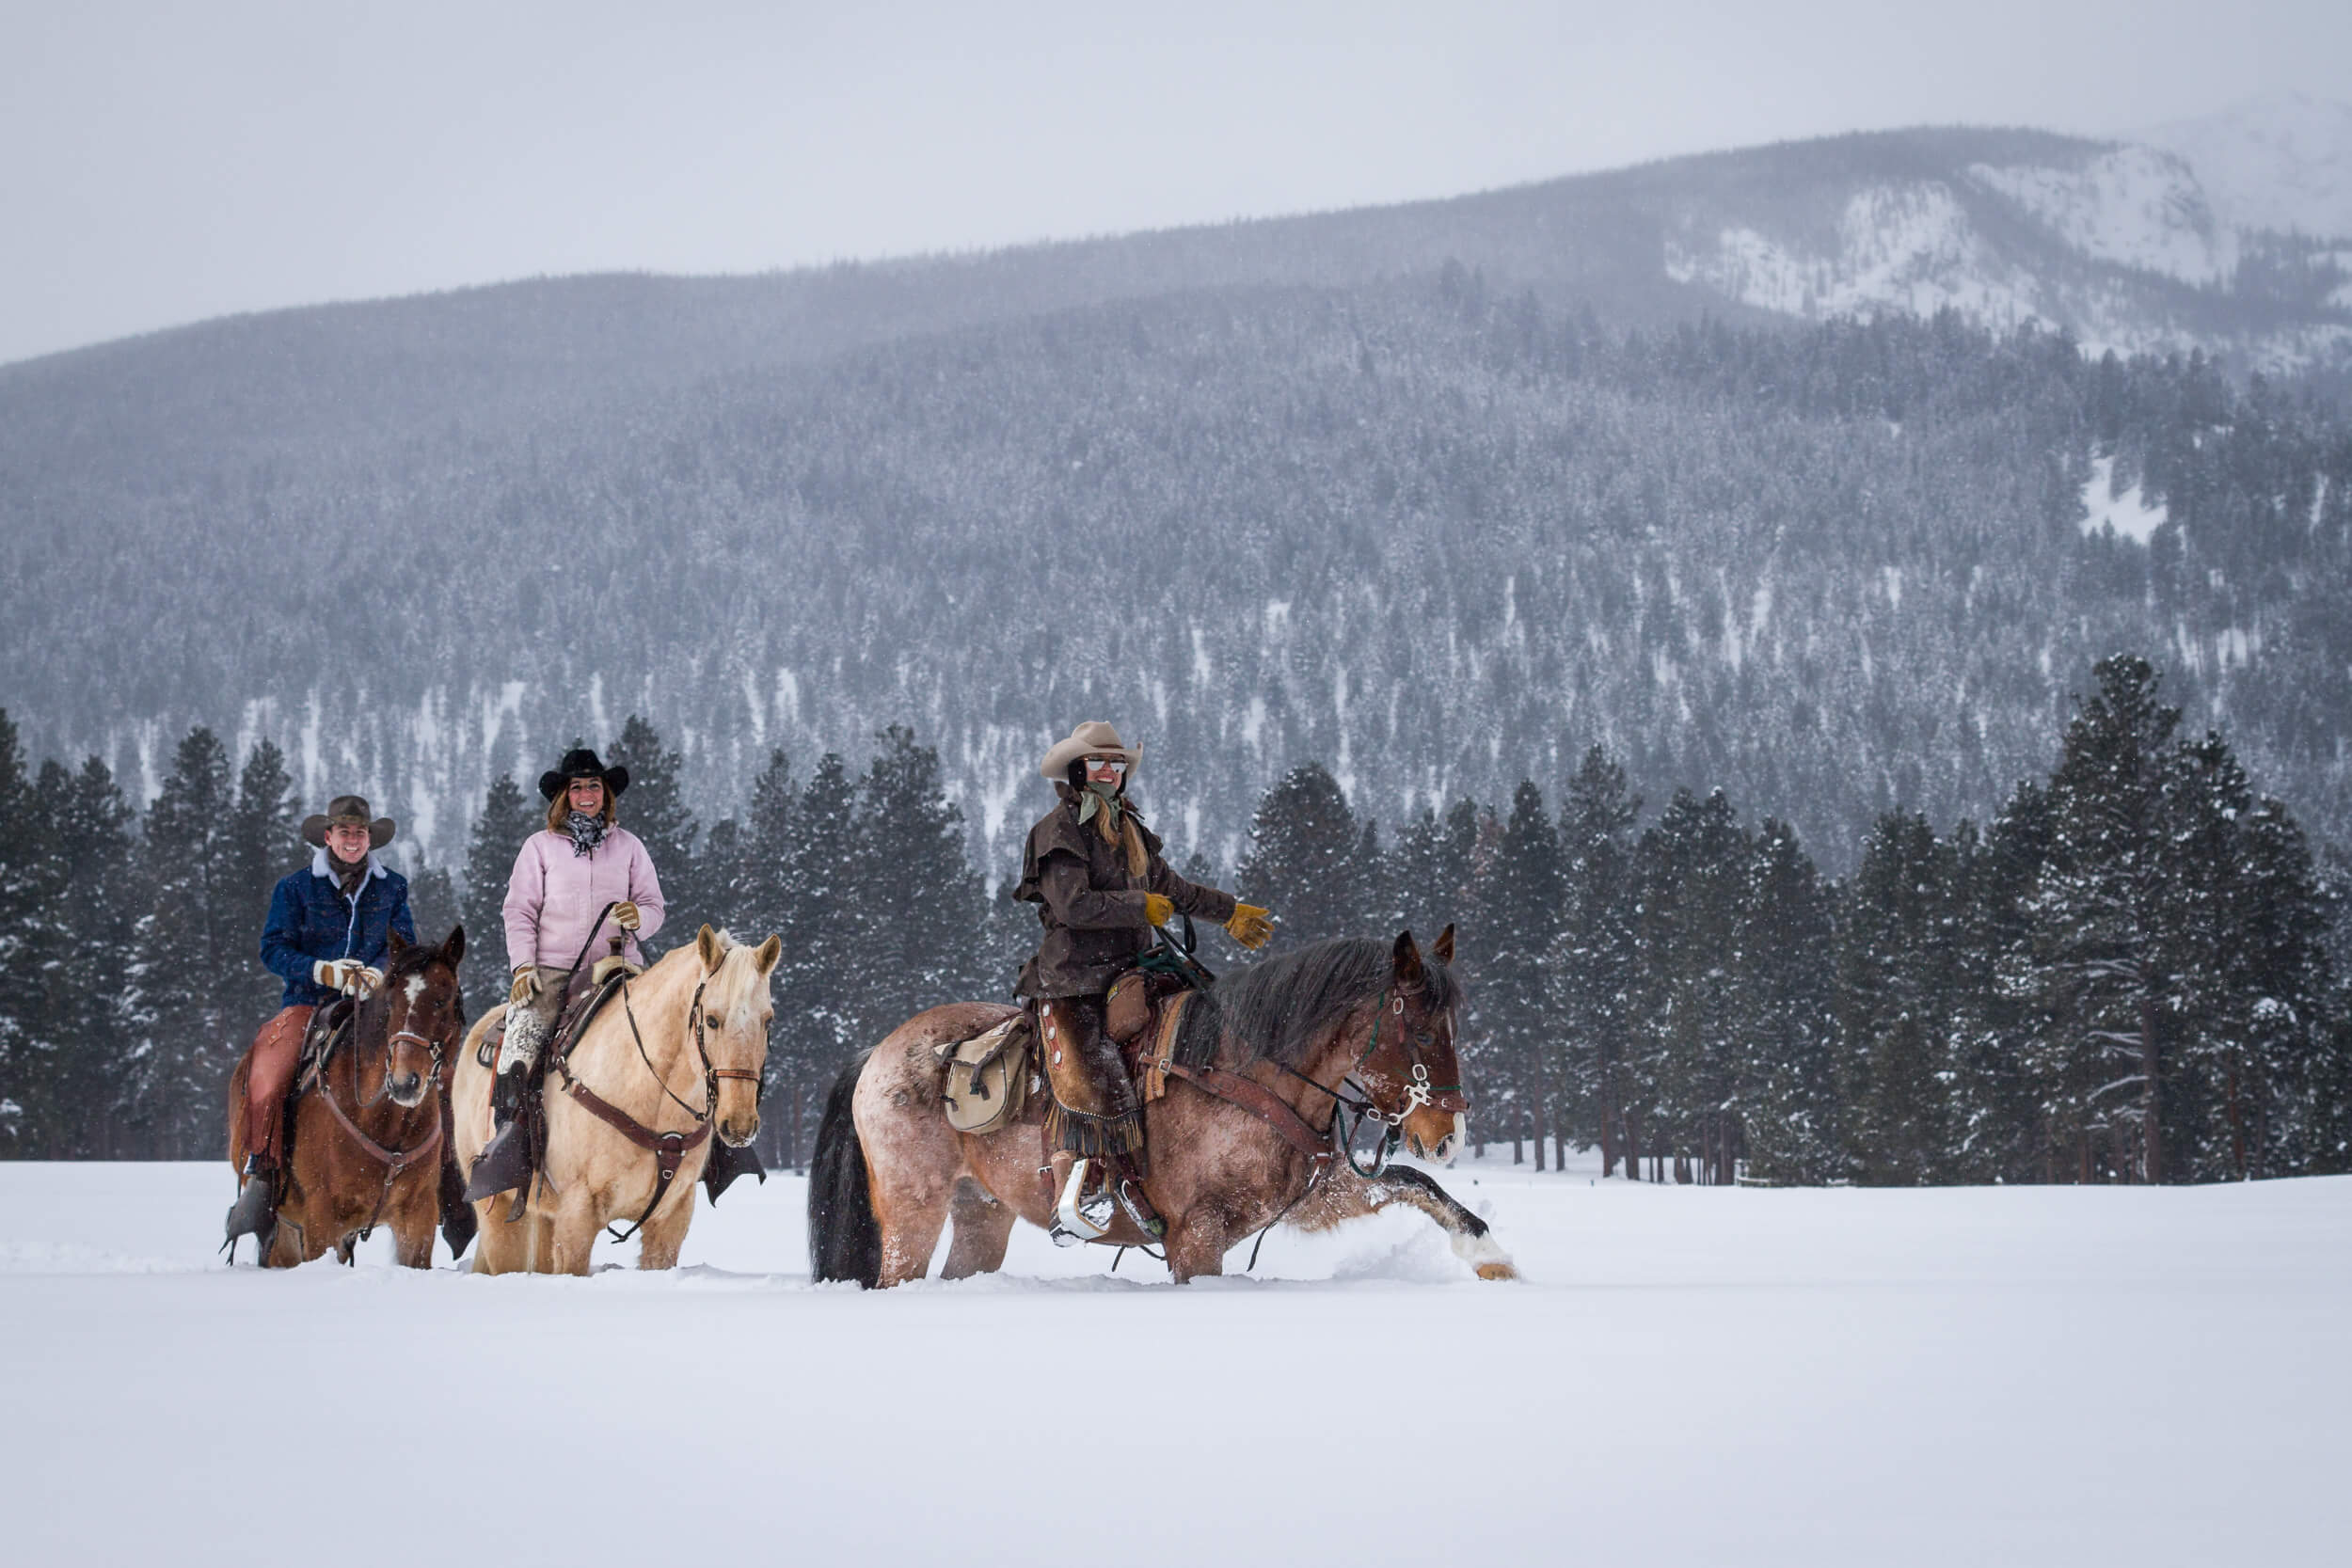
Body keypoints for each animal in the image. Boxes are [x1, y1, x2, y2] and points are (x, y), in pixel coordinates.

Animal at [228, 926, 468, 1269]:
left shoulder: (417, 1218)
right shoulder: (322, 1220)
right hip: (284, 1227)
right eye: (390, 1002)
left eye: (442, 1000)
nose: (403, 1083)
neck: (384, 1122)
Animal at [453, 930, 786, 1278]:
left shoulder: (671, 1218)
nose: (739, 1124)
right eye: (711, 1020)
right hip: (497, 1214)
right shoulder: (577, 1214)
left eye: (768, 1020)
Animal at [800, 926, 1515, 1278]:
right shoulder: (1196, 1237)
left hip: (981, 1214)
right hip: (912, 1213)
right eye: (1420, 1032)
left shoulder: (1312, 1198)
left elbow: (1413, 1184)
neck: (1245, 1072)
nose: (1447, 1134)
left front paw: (1491, 1258)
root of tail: (875, 1053)